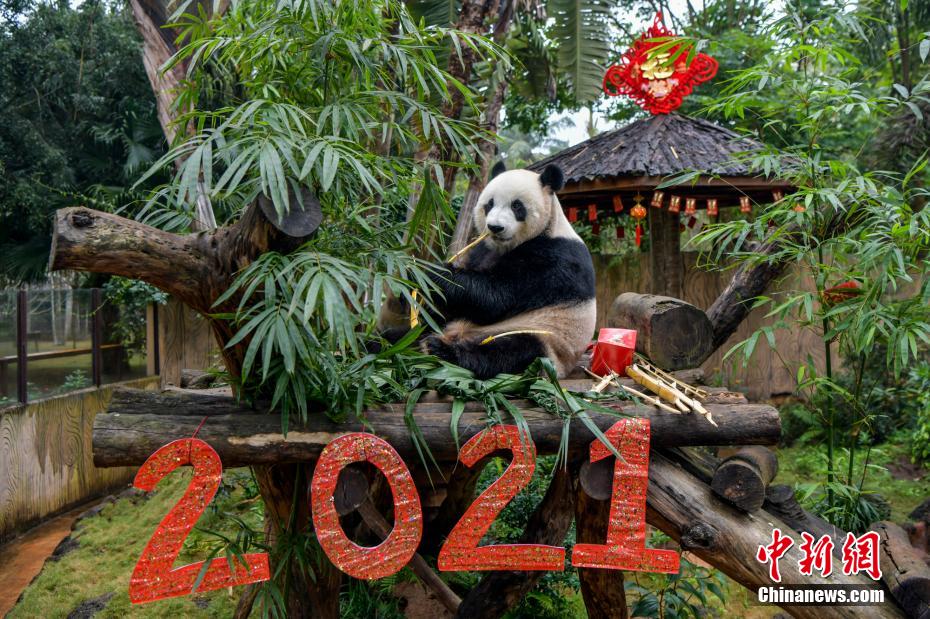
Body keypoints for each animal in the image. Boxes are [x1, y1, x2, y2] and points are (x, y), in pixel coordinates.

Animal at [417, 163, 597, 379]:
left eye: (517, 206)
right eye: (489, 204)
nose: (495, 227)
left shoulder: (556, 260)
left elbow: (495, 298)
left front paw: (433, 271)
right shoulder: (483, 248)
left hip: (544, 340)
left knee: (511, 351)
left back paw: (441, 350)